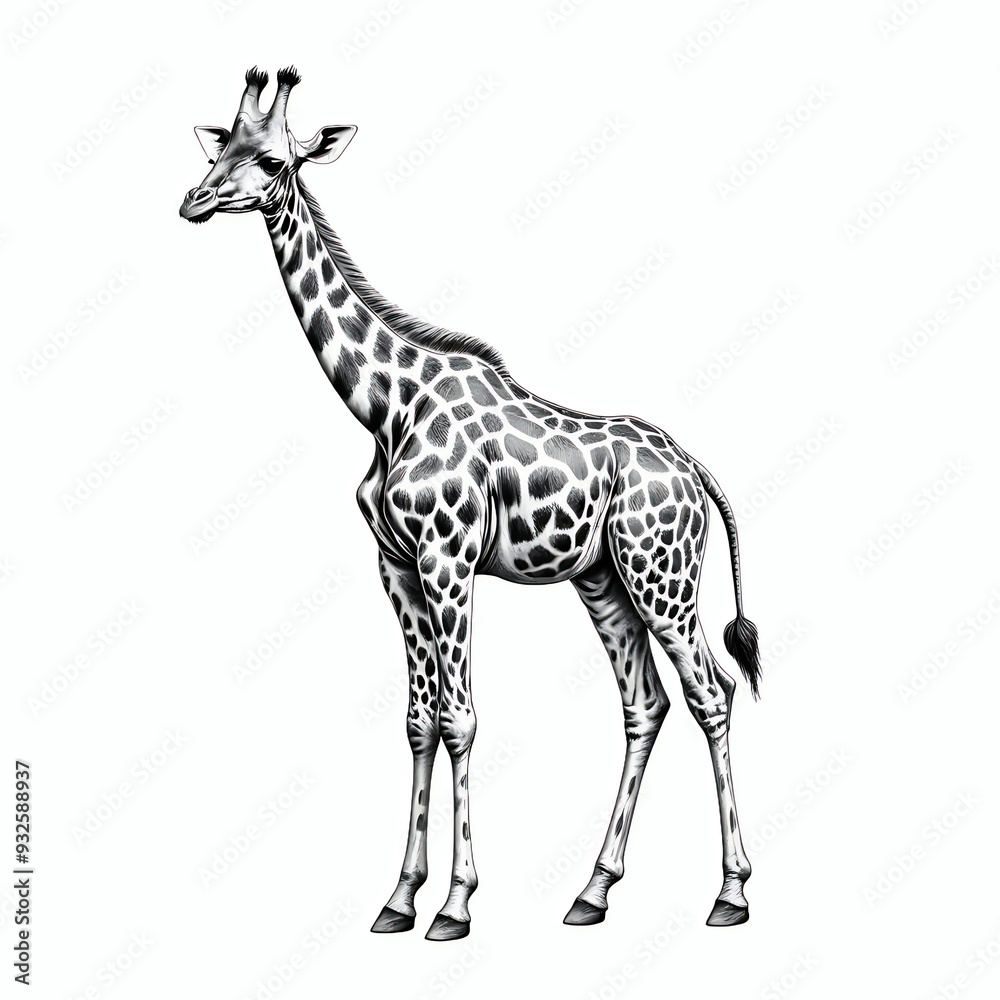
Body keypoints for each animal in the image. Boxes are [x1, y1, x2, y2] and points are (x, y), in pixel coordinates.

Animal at [181, 67, 762, 941]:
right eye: (223, 149)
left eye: (275, 160)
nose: (195, 200)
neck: (387, 407)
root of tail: (695, 470)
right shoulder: (395, 564)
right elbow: (419, 719)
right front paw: (398, 898)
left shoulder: (447, 558)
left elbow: (460, 717)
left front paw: (454, 904)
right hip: (604, 580)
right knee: (645, 703)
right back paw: (592, 891)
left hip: (663, 575)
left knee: (711, 692)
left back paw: (730, 893)